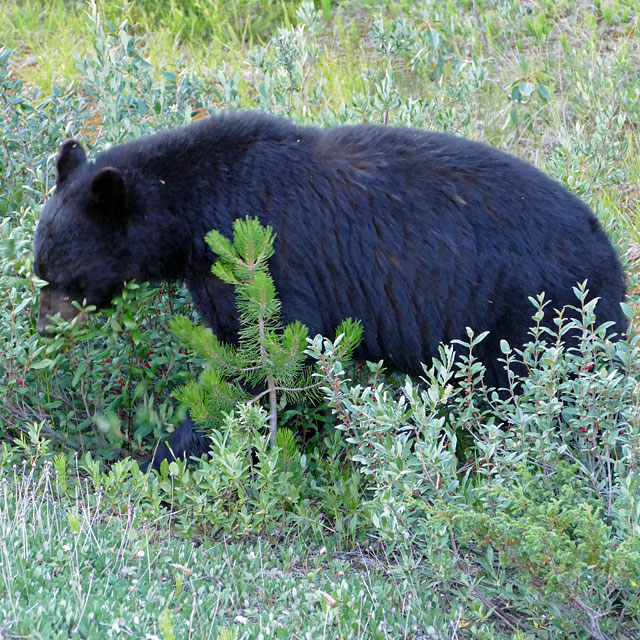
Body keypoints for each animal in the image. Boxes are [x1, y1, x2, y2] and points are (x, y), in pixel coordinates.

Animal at [33, 112, 624, 468]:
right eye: (41, 271)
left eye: (63, 278)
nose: (43, 328)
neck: (189, 205)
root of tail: (611, 258)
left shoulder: (263, 258)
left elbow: (253, 356)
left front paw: (163, 455)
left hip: (533, 316)